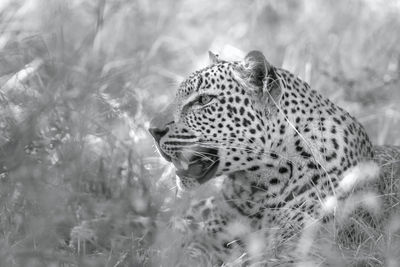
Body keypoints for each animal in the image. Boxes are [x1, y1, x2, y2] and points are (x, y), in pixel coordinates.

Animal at [149, 50, 400, 266]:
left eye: (203, 101)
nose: (152, 130)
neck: (257, 189)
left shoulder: (305, 251)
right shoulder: (205, 240)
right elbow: (183, 253)